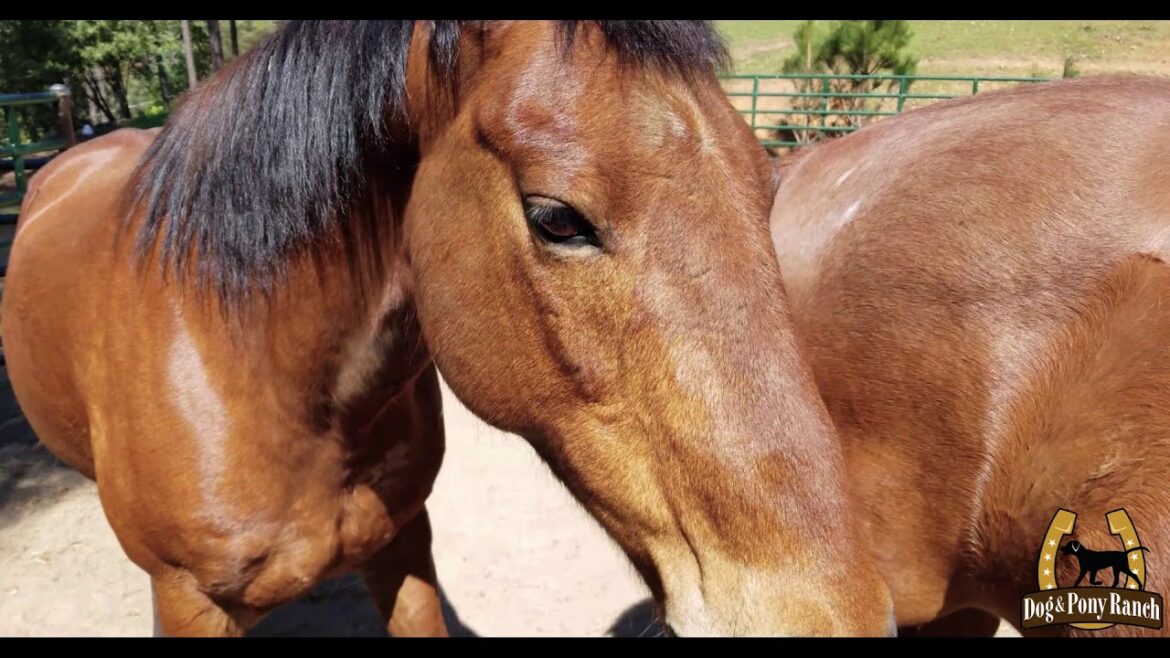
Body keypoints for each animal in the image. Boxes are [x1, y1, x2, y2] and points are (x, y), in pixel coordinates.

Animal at [2, 21, 895, 636]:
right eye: (556, 217)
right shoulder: (191, 601)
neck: (263, 375)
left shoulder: (403, 544)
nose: (833, 614)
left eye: (765, 186)